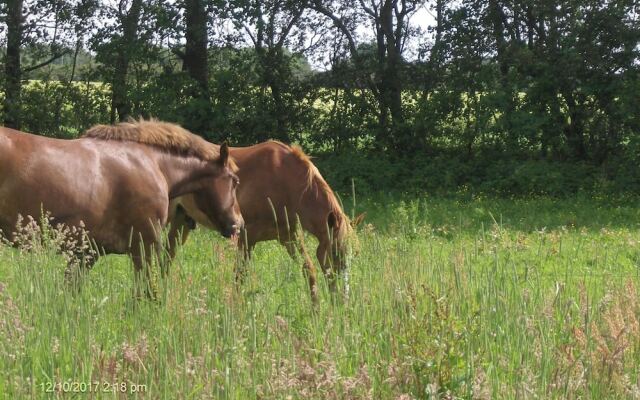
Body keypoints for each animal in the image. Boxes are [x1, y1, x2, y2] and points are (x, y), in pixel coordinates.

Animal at [0, 120, 244, 296]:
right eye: (234, 181)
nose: (238, 223)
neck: (153, 164)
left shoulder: (86, 254)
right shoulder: (144, 248)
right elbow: (145, 294)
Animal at [166, 141, 360, 300]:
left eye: (354, 255)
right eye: (335, 253)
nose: (343, 299)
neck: (283, 180)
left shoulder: (289, 237)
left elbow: (308, 269)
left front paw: (317, 311)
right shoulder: (246, 237)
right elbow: (239, 276)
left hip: (181, 222)